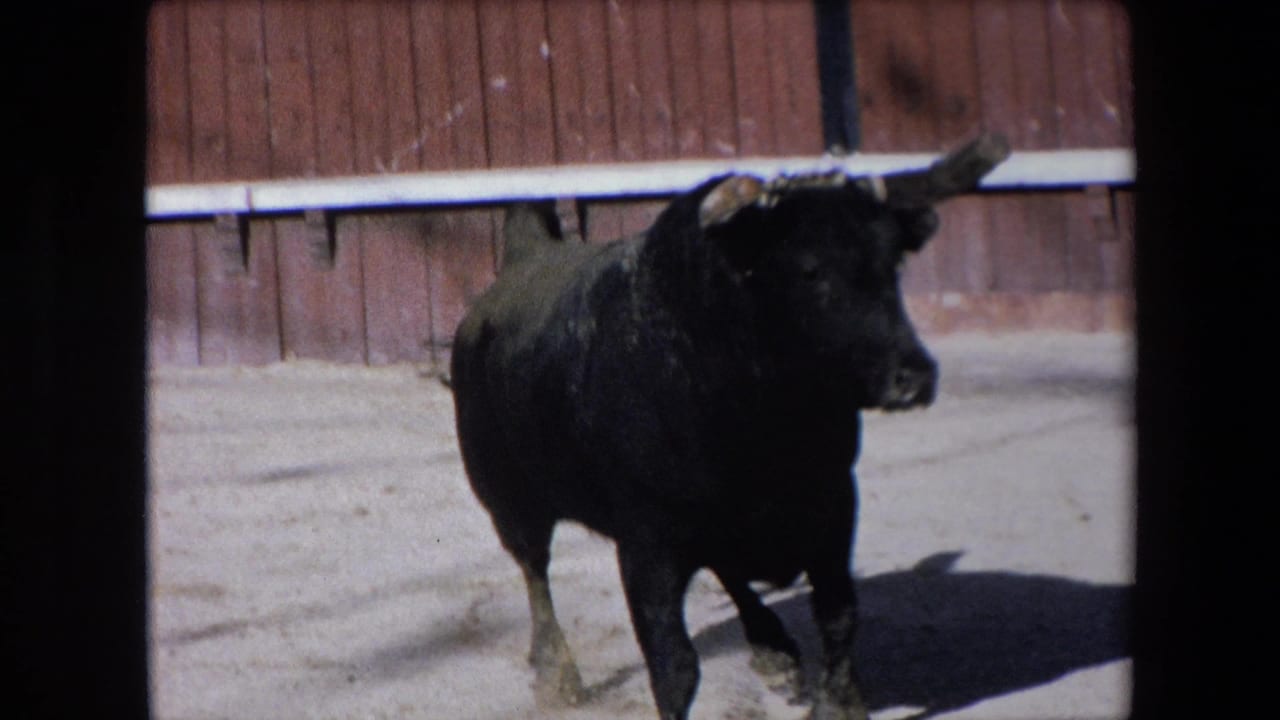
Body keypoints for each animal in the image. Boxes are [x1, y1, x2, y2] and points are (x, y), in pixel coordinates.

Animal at [450, 134, 1010, 720]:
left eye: (892, 263)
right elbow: (674, 668)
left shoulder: (833, 502)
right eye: (809, 269)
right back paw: (558, 676)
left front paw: (838, 700)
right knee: (535, 572)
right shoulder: (647, 545)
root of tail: (524, 259)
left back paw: (774, 653)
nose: (913, 376)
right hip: (509, 501)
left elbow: (837, 614)